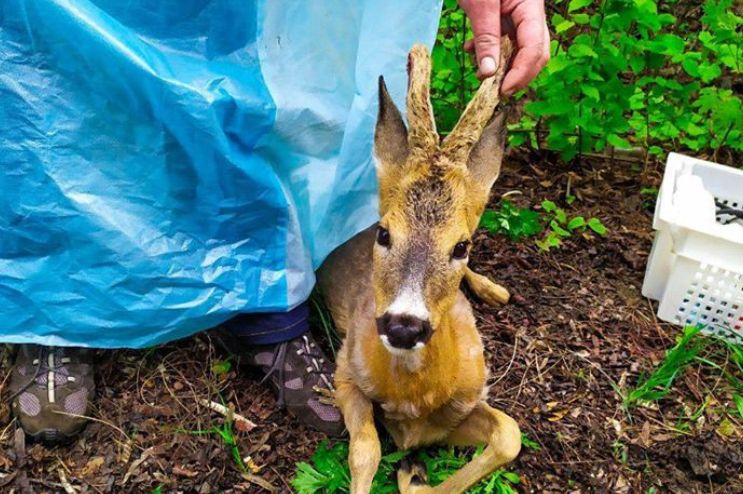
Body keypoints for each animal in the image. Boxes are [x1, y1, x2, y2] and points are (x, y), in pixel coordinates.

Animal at [316, 39, 520, 494]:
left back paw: (495, 290)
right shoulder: (345, 371)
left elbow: (509, 434)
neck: (413, 397)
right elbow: (365, 452)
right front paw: (410, 470)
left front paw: (414, 474)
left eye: (461, 245)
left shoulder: (463, 404)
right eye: (384, 233)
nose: (404, 326)